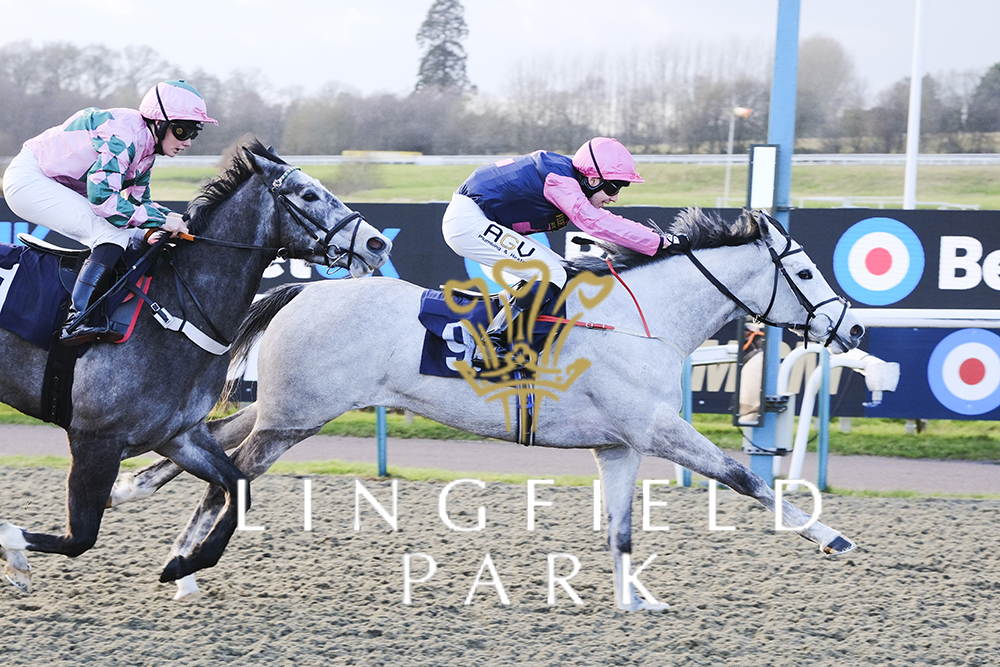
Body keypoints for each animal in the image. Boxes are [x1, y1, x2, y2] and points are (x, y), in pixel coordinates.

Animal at [0, 138, 390, 592]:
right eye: (309, 195)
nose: (378, 244)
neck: (173, 310)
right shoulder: (94, 439)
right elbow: (79, 538)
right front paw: (13, 553)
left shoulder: (180, 434)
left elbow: (239, 486)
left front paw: (185, 563)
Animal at [115, 210, 868, 612]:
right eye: (805, 272)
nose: (852, 327)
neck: (640, 320)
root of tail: (303, 289)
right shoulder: (655, 428)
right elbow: (744, 477)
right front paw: (831, 536)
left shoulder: (620, 443)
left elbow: (622, 531)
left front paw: (633, 600)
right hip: (294, 417)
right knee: (229, 473)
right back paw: (183, 562)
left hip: (293, 410)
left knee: (213, 444)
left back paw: (149, 514)